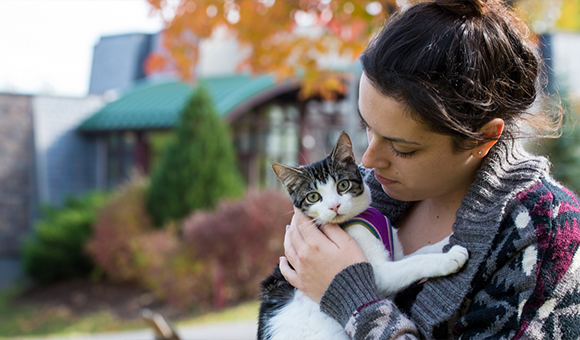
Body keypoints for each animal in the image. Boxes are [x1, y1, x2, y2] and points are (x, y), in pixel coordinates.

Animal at [260, 131, 472, 338]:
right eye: (313, 196)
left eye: (343, 185)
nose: (334, 206)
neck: (359, 217)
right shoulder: (380, 274)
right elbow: (414, 262)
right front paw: (450, 258)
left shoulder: (395, 253)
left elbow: (419, 252)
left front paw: (449, 239)